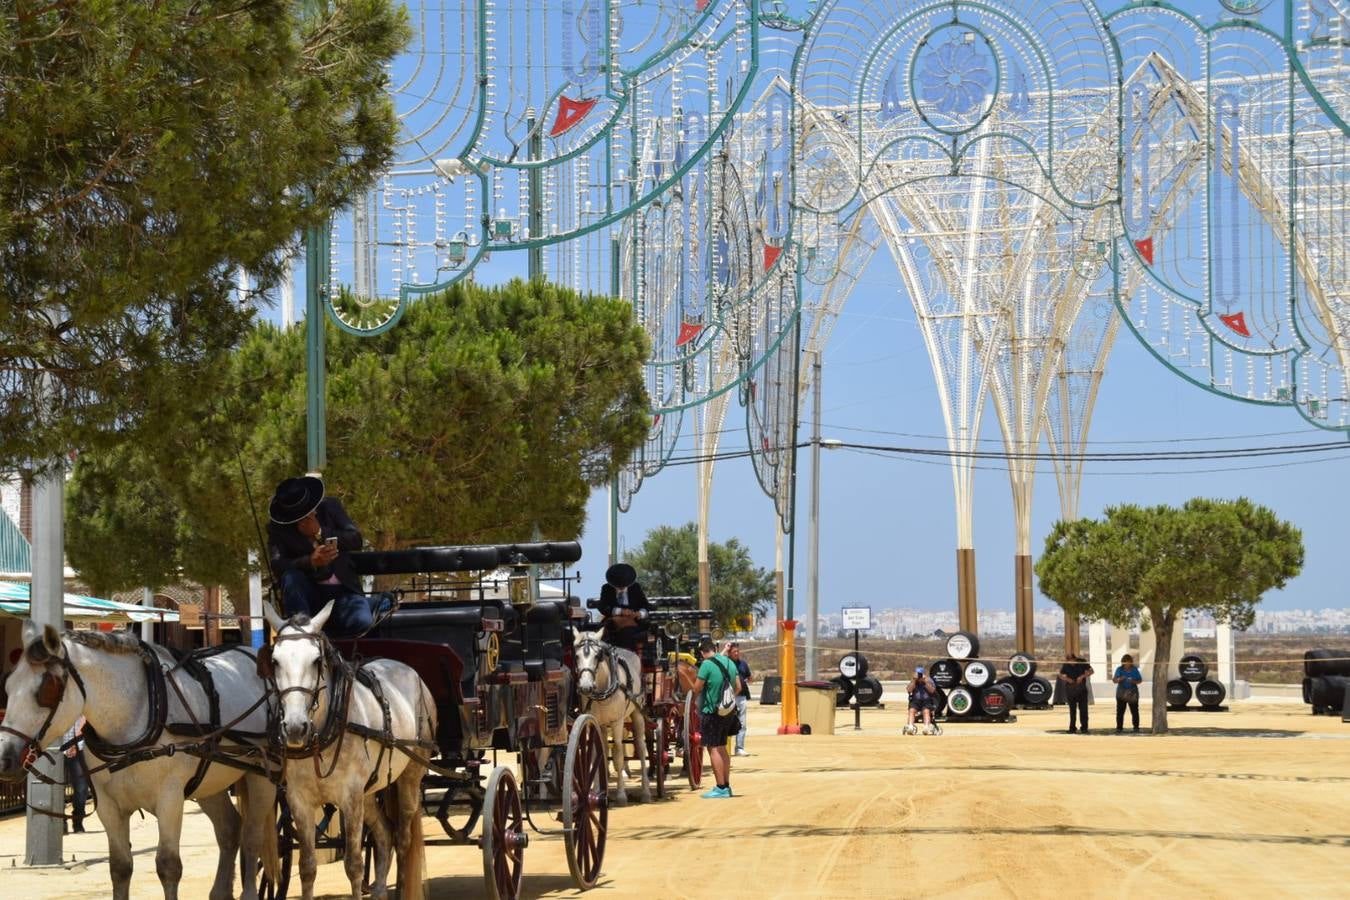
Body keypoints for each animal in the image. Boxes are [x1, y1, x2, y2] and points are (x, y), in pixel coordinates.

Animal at [0, 620, 278, 900]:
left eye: (46, 689)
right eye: (8, 686)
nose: (4, 758)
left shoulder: (170, 798)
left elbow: (168, 866)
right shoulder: (109, 806)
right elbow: (120, 867)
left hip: (263, 773)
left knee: (252, 835)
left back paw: (249, 892)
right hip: (209, 781)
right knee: (229, 829)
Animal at [260, 599, 434, 900]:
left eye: (316, 661)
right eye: (275, 661)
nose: (294, 727)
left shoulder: (350, 797)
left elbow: (353, 864)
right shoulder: (299, 800)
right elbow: (307, 867)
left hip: (410, 777)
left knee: (402, 839)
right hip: (370, 790)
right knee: (385, 834)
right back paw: (379, 890)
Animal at [572, 626, 650, 809]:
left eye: (597, 655)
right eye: (576, 656)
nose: (585, 687)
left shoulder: (617, 722)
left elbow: (618, 755)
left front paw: (621, 795)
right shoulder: (594, 721)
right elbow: (595, 755)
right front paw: (595, 792)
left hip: (637, 713)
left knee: (641, 748)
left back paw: (646, 791)